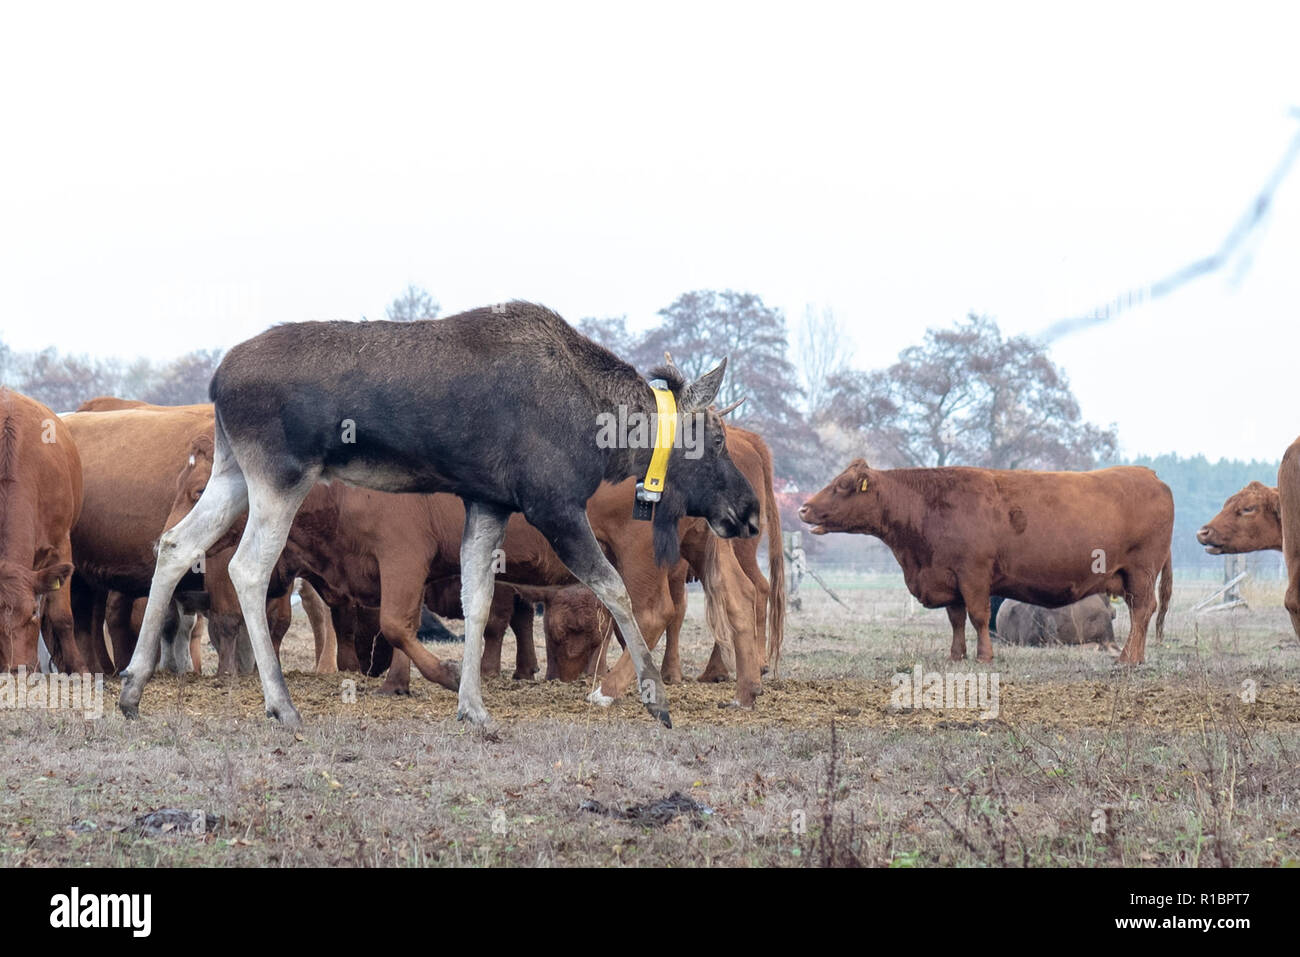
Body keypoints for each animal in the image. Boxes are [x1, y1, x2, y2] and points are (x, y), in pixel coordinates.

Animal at [122, 302, 759, 728]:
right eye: (716, 440)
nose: (749, 510)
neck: (603, 436)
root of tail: (216, 380)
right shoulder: (552, 503)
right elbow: (613, 589)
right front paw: (656, 700)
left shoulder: (488, 499)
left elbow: (479, 602)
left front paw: (473, 707)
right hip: (280, 475)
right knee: (247, 568)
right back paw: (281, 705)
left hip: (234, 471)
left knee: (175, 543)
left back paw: (133, 686)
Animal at [795, 462, 1175, 665]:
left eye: (843, 485)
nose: (803, 508)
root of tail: (1149, 474)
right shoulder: (949, 580)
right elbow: (956, 619)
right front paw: (956, 656)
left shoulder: (973, 575)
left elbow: (977, 616)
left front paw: (984, 656)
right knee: (1142, 613)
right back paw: (1136, 657)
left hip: (1141, 572)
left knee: (1143, 611)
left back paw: (1128, 658)